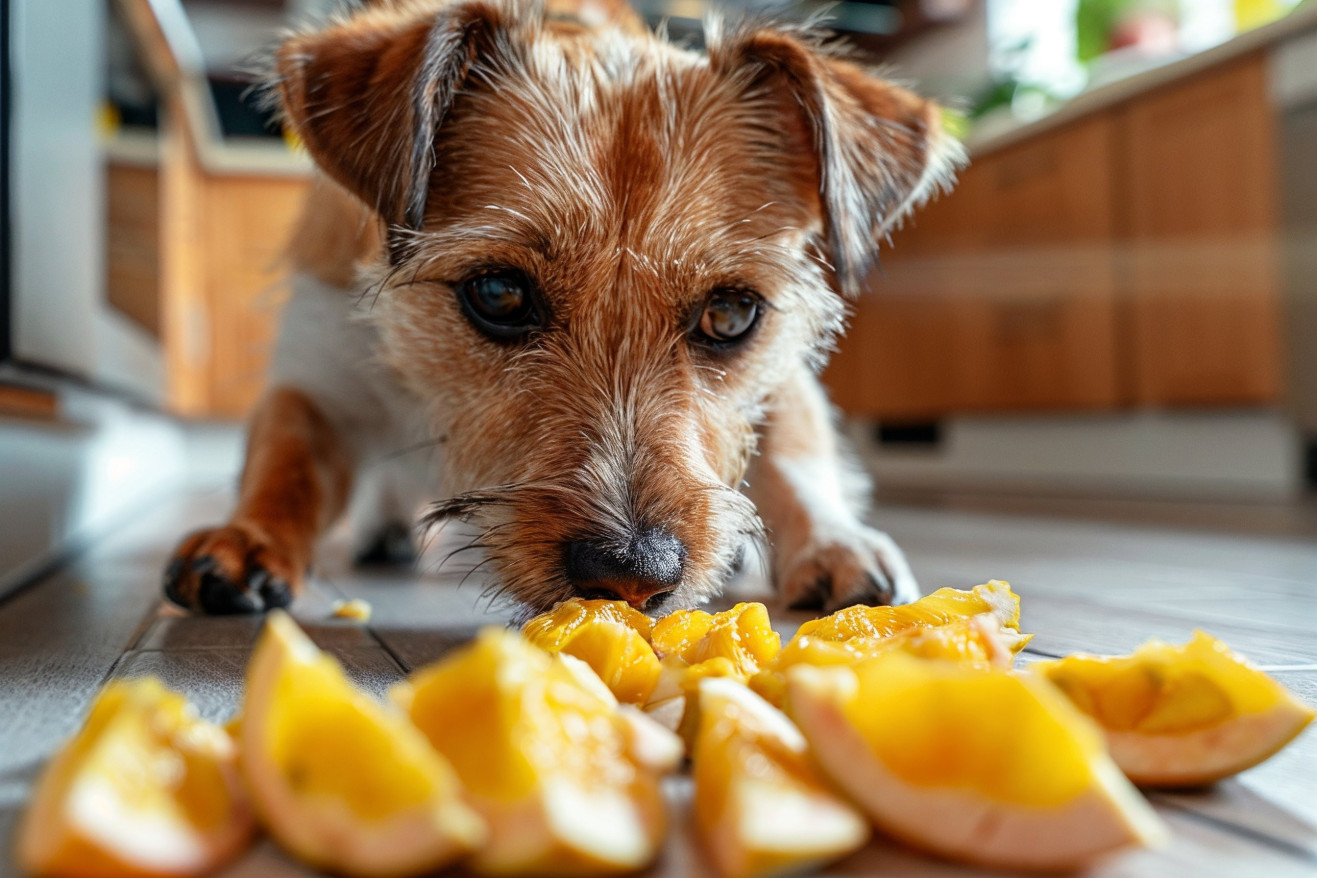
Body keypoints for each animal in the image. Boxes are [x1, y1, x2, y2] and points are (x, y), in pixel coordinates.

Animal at [164, 0, 964, 621]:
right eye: (498, 295)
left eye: (731, 314)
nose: (632, 572)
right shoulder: (316, 376)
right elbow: (286, 465)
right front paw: (246, 538)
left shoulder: (782, 372)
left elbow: (796, 457)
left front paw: (835, 543)